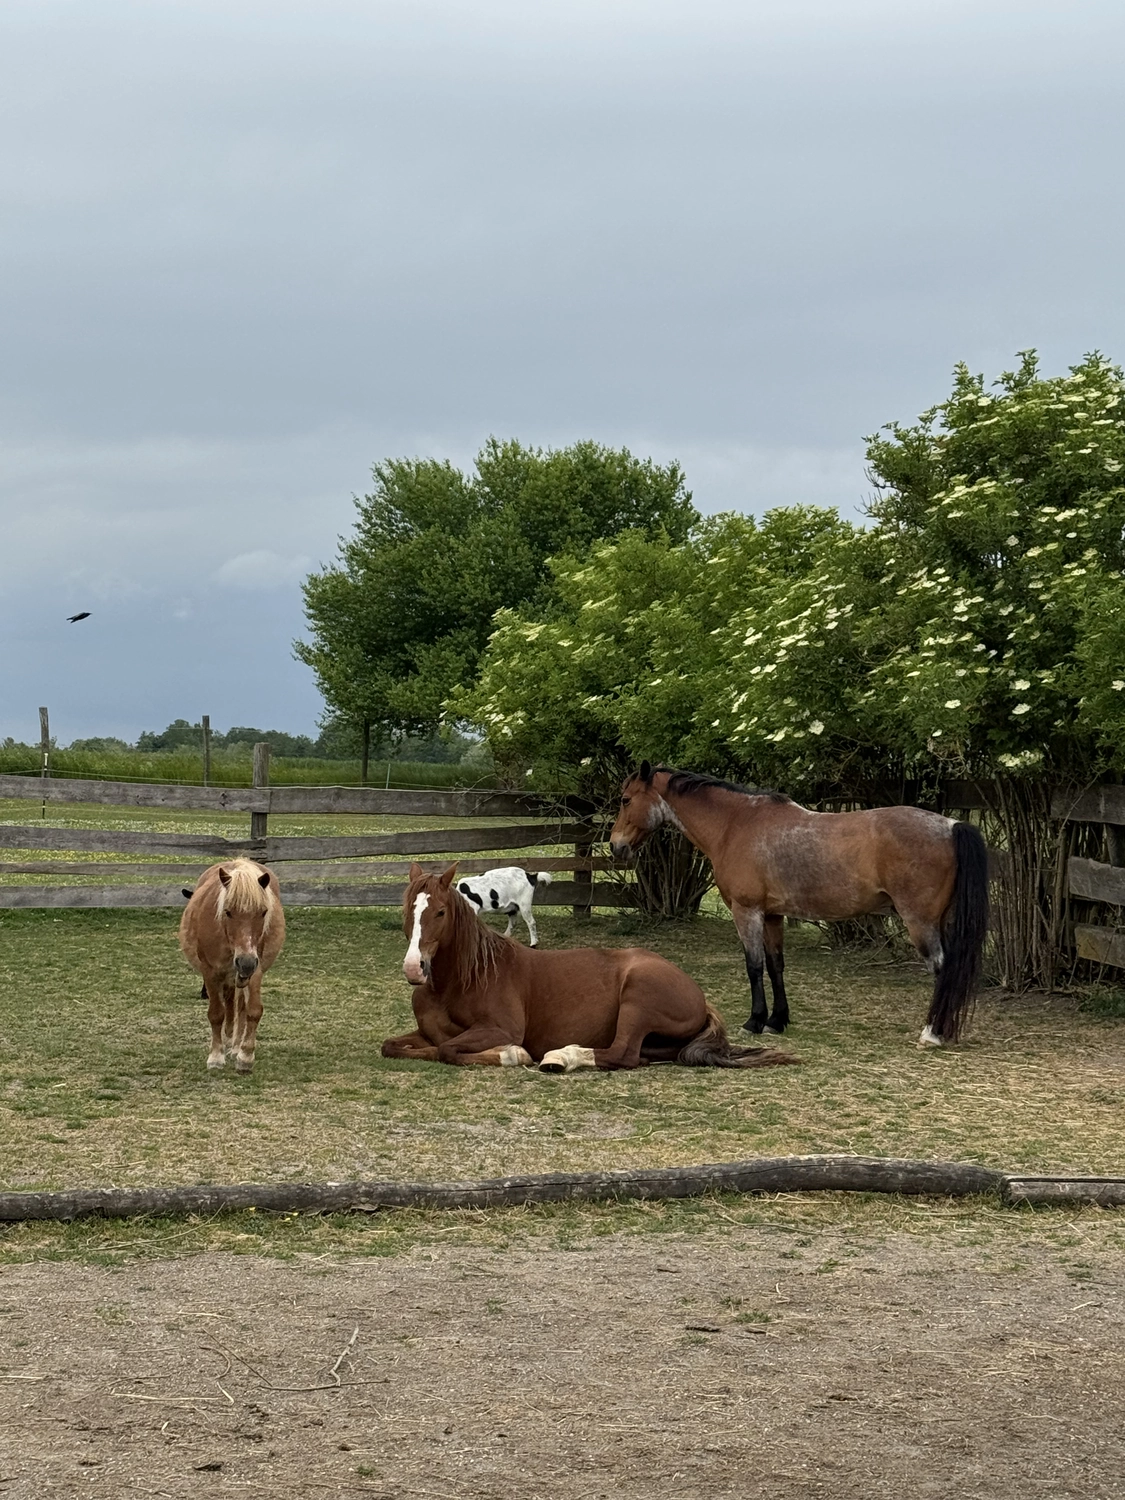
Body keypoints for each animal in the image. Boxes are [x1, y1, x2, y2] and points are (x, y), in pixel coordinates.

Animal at [179, 859, 286, 1072]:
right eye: (227, 912)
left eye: (263, 912)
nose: (245, 962)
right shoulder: (210, 972)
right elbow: (216, 1013)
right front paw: (216, 1056)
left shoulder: (255, 969)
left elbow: (253, 1010)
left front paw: (245, 1056)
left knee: (240, 1006)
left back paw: (236, 1046)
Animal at [380, 862, 800, 1071]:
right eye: (406, 909)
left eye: (440, 911)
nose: (415, 968)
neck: (461, 980)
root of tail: (700, 996)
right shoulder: (427, 1033)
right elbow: (397, 1046)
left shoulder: (501, 1028)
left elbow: (450, 1050)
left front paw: (513, 1055)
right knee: (643, 1056)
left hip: (637, 1002)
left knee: (621, 1055)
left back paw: (562, 1057)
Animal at [608, 764, 989, 1047]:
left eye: (626, 799)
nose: (615, 846)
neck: (736, 824)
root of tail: (951, 824)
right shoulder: (773, 915)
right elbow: (776, 965)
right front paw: (777, 1021)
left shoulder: (746, 912)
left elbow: (754, 966)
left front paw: (754, 1020)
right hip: (941, 920)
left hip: (920, 922)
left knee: (942, 968)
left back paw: (932, 1033)